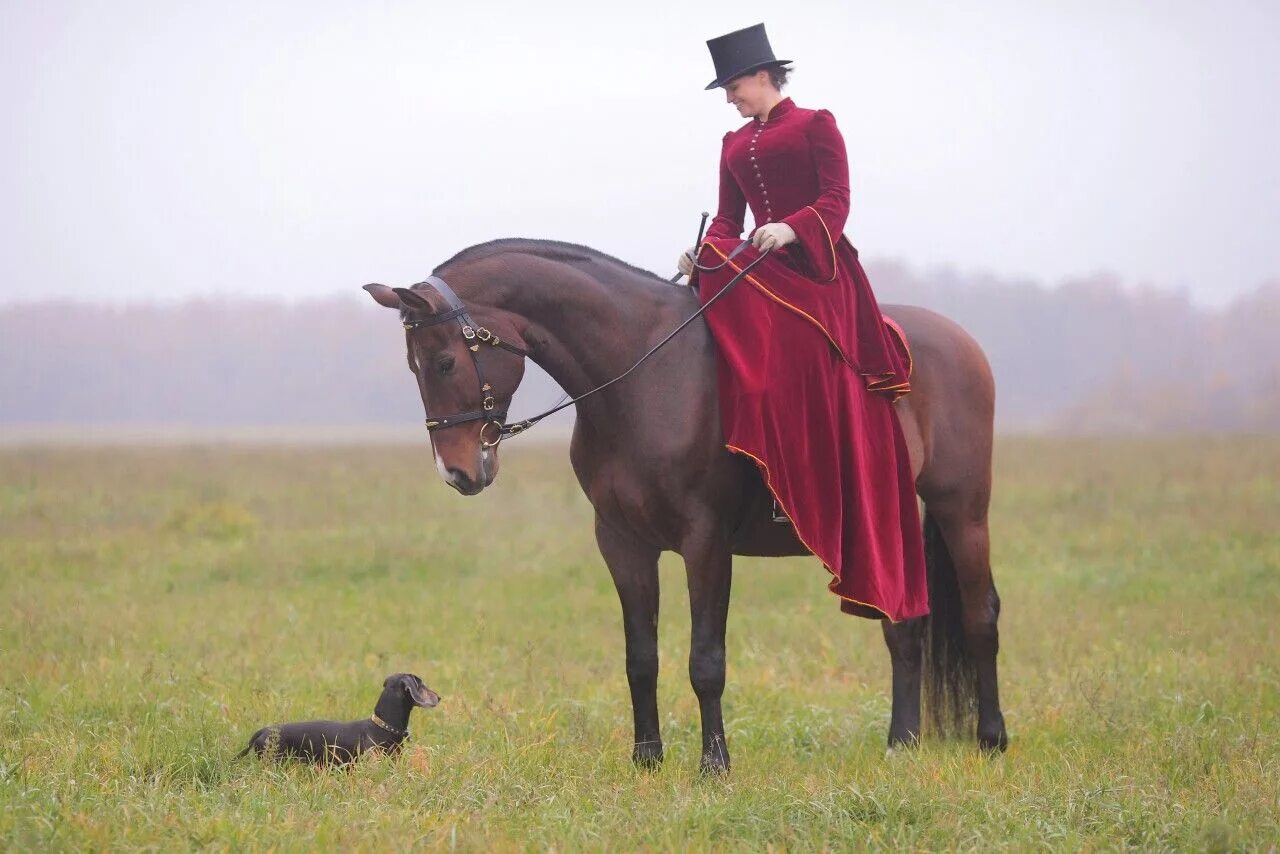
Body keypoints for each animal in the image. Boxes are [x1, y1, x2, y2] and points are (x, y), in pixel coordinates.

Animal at [363, 236, 1008, 773]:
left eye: (444, 361)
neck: (644, 379)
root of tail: (960, 341)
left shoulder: (706, 541)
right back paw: (902, 743)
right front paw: (646, 757)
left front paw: (714, 764)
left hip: (962, 510)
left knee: (981, 615)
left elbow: (706, 660)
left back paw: (991, 739)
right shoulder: (621, 542)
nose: (457, 472)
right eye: (415, 366)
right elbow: (640, 657)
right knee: (905, 625)